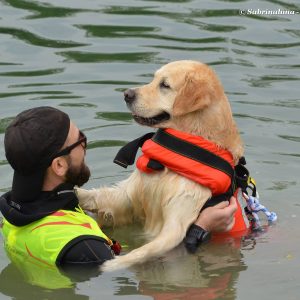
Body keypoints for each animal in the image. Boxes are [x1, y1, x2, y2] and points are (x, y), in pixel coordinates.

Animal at [76, 59, 243, 270]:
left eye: (165, 85)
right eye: (153, 79)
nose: (127, 94)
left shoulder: (178, 221)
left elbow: (146, 250)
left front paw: (113, 264)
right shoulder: (132, 194)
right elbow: (103, 196)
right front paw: (75, 192)